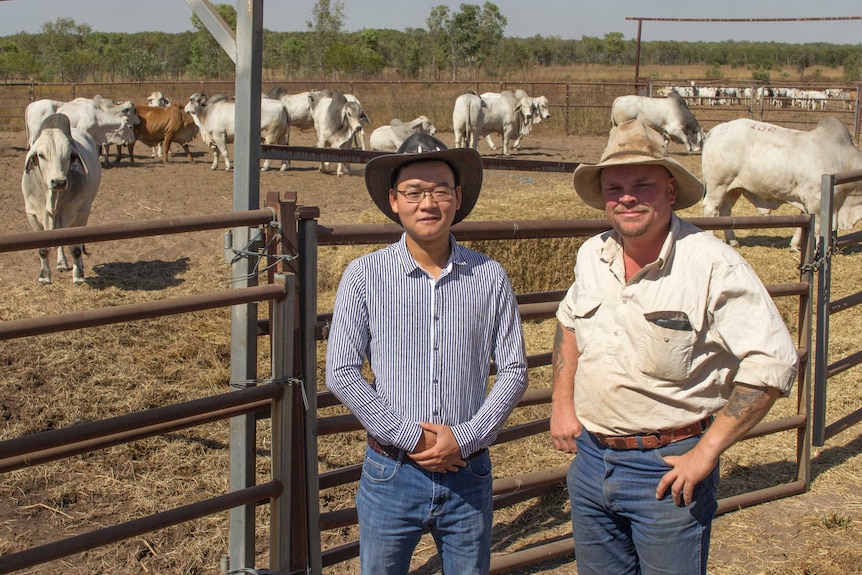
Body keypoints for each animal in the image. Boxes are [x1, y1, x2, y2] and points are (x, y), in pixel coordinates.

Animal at [22, 113, 102, 284]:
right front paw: (44, 276)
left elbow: (76, 248)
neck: (52, 200)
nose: (58, 181)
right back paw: (61, 263)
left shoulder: (80, 215)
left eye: (69, 156)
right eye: (41, 155)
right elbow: (43, 249)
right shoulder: (32, 214)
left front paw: (78, 275)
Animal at [704, 118, 862, 251]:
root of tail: (715, 130)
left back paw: (733, 241)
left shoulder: (808, 202)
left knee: (725, 210)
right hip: (718, 186)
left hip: (733, 189)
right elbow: (818, 229)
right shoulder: (817, 202)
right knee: (711, 209)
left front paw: (796, 246)